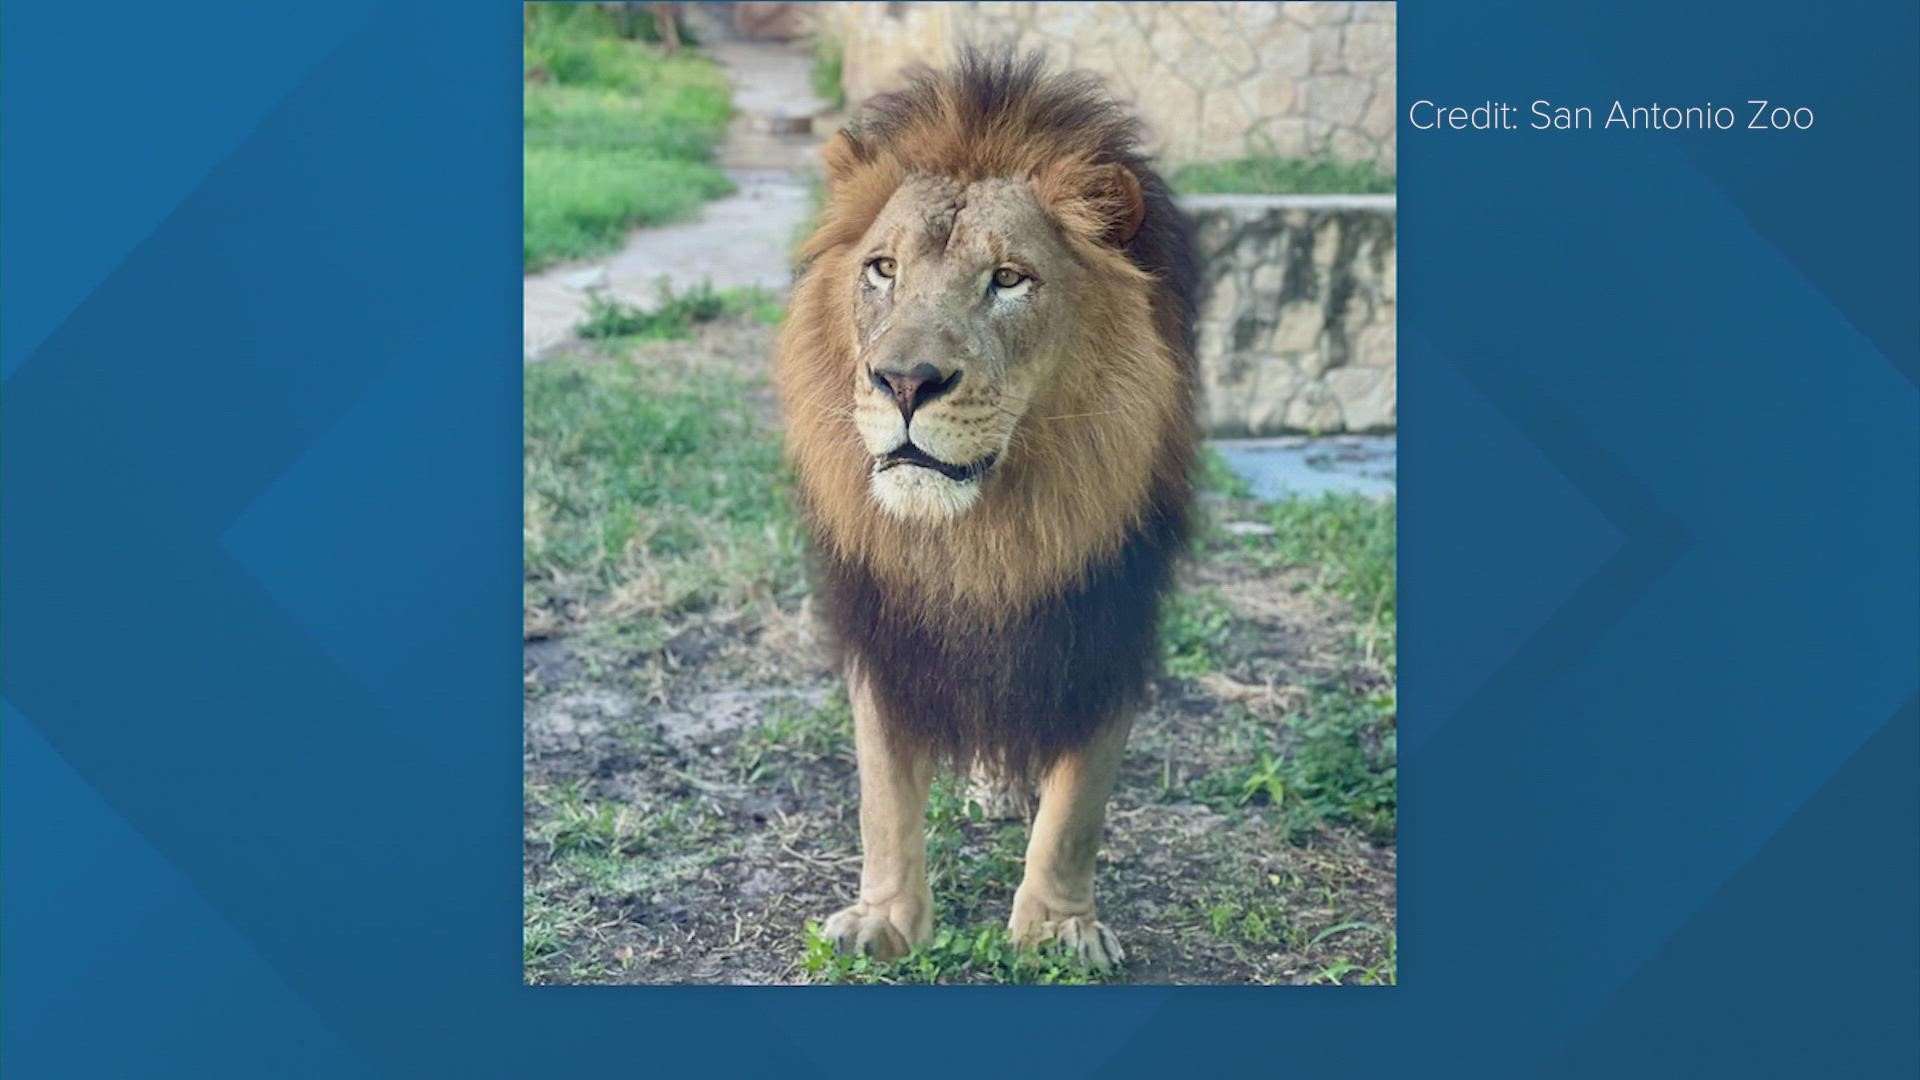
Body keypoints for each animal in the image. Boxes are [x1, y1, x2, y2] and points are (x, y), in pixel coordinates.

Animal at [771, 48, 1190, 968]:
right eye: (883, 270)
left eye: (1008, 280)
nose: (903, 383)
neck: (982, 531)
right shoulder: (883, 620)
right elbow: (883, 794)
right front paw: (884, 921)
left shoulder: (1108, 614)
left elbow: (1078, 807)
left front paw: (1060, 930)